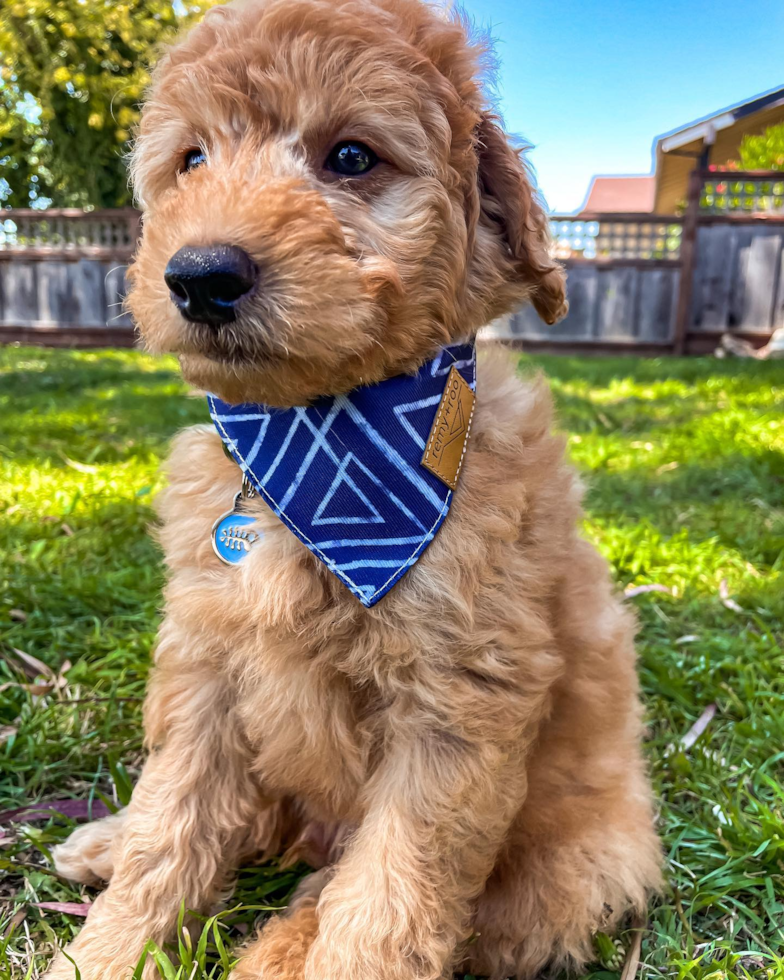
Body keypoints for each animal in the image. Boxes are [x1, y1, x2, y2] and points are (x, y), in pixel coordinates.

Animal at [46, 1, 660, 980]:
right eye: (192, 161)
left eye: (351, 157)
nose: (200, 276)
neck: (317, 432)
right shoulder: (206, 659)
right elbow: (170, 827)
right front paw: (106, 952)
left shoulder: (458, 706)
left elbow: (390, 894)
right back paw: (104, 842)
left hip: (568, 866)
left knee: (352, 883)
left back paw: (279, 947)